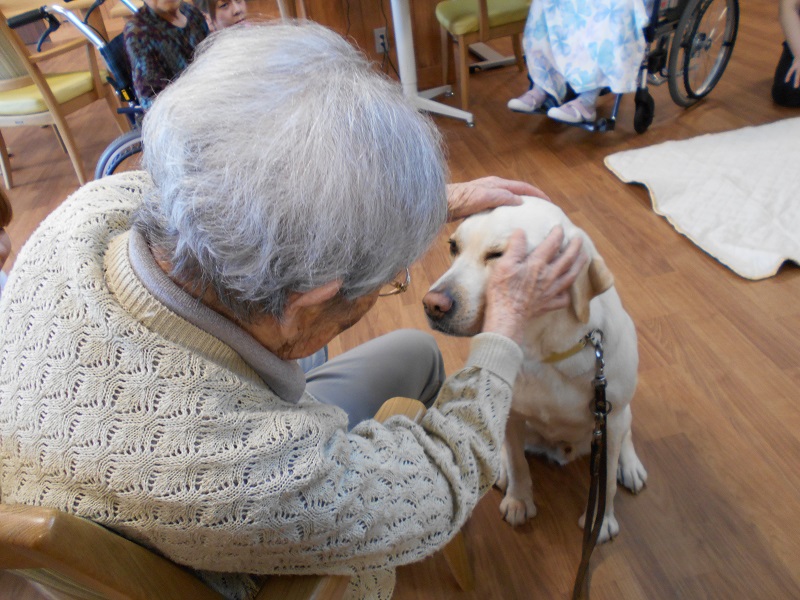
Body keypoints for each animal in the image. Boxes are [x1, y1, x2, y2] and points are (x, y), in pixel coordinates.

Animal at [422, 198, 648, 544]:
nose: (432, 305)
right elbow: (518, 463)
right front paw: (518, 501)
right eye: (453, 247)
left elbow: (606, 481)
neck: (546, 351)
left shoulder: (609, 417)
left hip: (619, 414)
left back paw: (631, 465)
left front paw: (603, 521)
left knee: (627, 434)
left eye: (499, 256)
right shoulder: (513, 415)